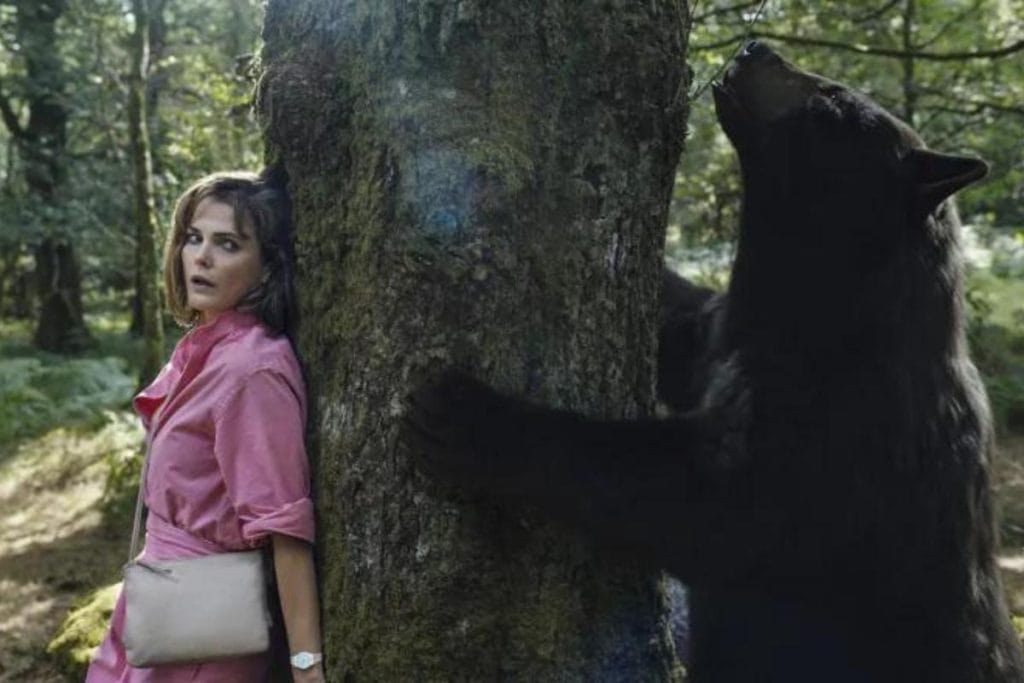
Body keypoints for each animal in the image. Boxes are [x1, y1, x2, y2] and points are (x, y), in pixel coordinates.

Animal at [403, 42, 1024, 682]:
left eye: (833, 98)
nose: (756, 46)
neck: (827, 316)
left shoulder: (846, 438)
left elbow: (707, 507)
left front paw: (470, 416)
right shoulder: (724, 336)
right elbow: (679, 326)